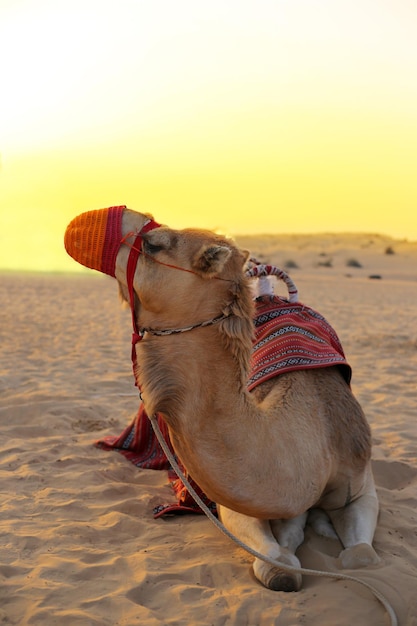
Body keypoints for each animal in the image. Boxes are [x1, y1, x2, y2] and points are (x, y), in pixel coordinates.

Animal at [65, 207, 380, 592]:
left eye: (153, 244)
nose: (80, 221)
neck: (315, 429)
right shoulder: (235, 503)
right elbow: (279, 563)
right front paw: (288, 548)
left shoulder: (361, 481)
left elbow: (362, 557)